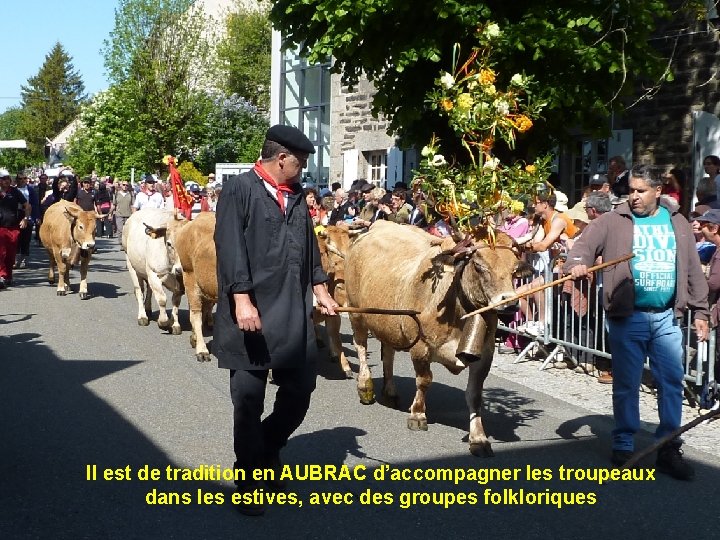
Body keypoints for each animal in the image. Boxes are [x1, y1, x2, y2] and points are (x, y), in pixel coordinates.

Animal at [344, 219, 524, 456]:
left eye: (515, 269)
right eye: (478, 266)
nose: (510, 304)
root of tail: (380, 224)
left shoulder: (485, 355)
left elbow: (475, 395)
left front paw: (479, 438)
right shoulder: (421, 346)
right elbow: (424, 380)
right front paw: (418, 415)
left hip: (388, 321)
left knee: (388, 353)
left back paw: (390, 392)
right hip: (356, 312)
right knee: (361, 347)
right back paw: (365, 387)